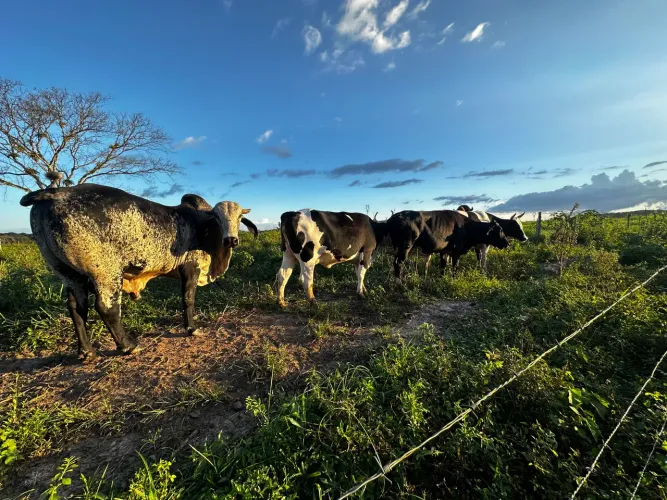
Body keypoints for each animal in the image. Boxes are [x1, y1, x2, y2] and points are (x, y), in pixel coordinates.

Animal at [20, 183, 258, 361]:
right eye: (217, 218)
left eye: (239, 218)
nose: (231, 240)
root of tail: (56, 192)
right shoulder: (191, 268)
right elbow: (188, 299)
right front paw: (191, 329)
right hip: (105, 272)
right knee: (106, 308)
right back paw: (128, 346)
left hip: (67, 272)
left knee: (77, 307)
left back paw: (87, 352)